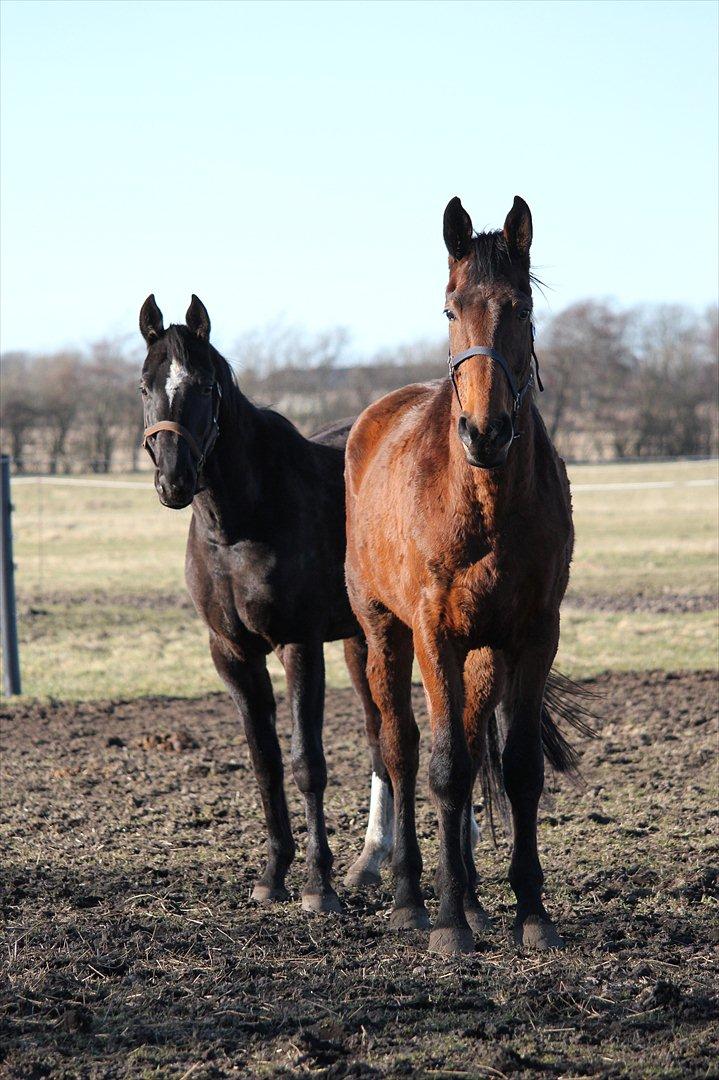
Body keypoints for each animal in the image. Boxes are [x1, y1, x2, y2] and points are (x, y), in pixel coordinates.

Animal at [137, 293, 384, 911]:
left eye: (205, 386)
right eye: (144, 384)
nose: (174, 480)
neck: (239, 524)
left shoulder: (298, 644)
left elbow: (306, 763)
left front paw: (318, 886)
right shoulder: (232, 652)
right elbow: (264, 761)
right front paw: (273, 874)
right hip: (362, 639)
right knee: (382, 735)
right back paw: (372, 861)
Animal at [341, 198, 582, 959]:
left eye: (520, 307)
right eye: (450, 309)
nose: (486, 430)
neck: (485, 503)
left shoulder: (531, 636)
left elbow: (518, 768)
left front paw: (529, 911)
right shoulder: (433, 634)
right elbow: (443, 768)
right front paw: (446, 923)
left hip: (481, 656)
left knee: (477, 747)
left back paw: (474, 900)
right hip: (384, 636)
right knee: (401, 751)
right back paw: (412, 900)